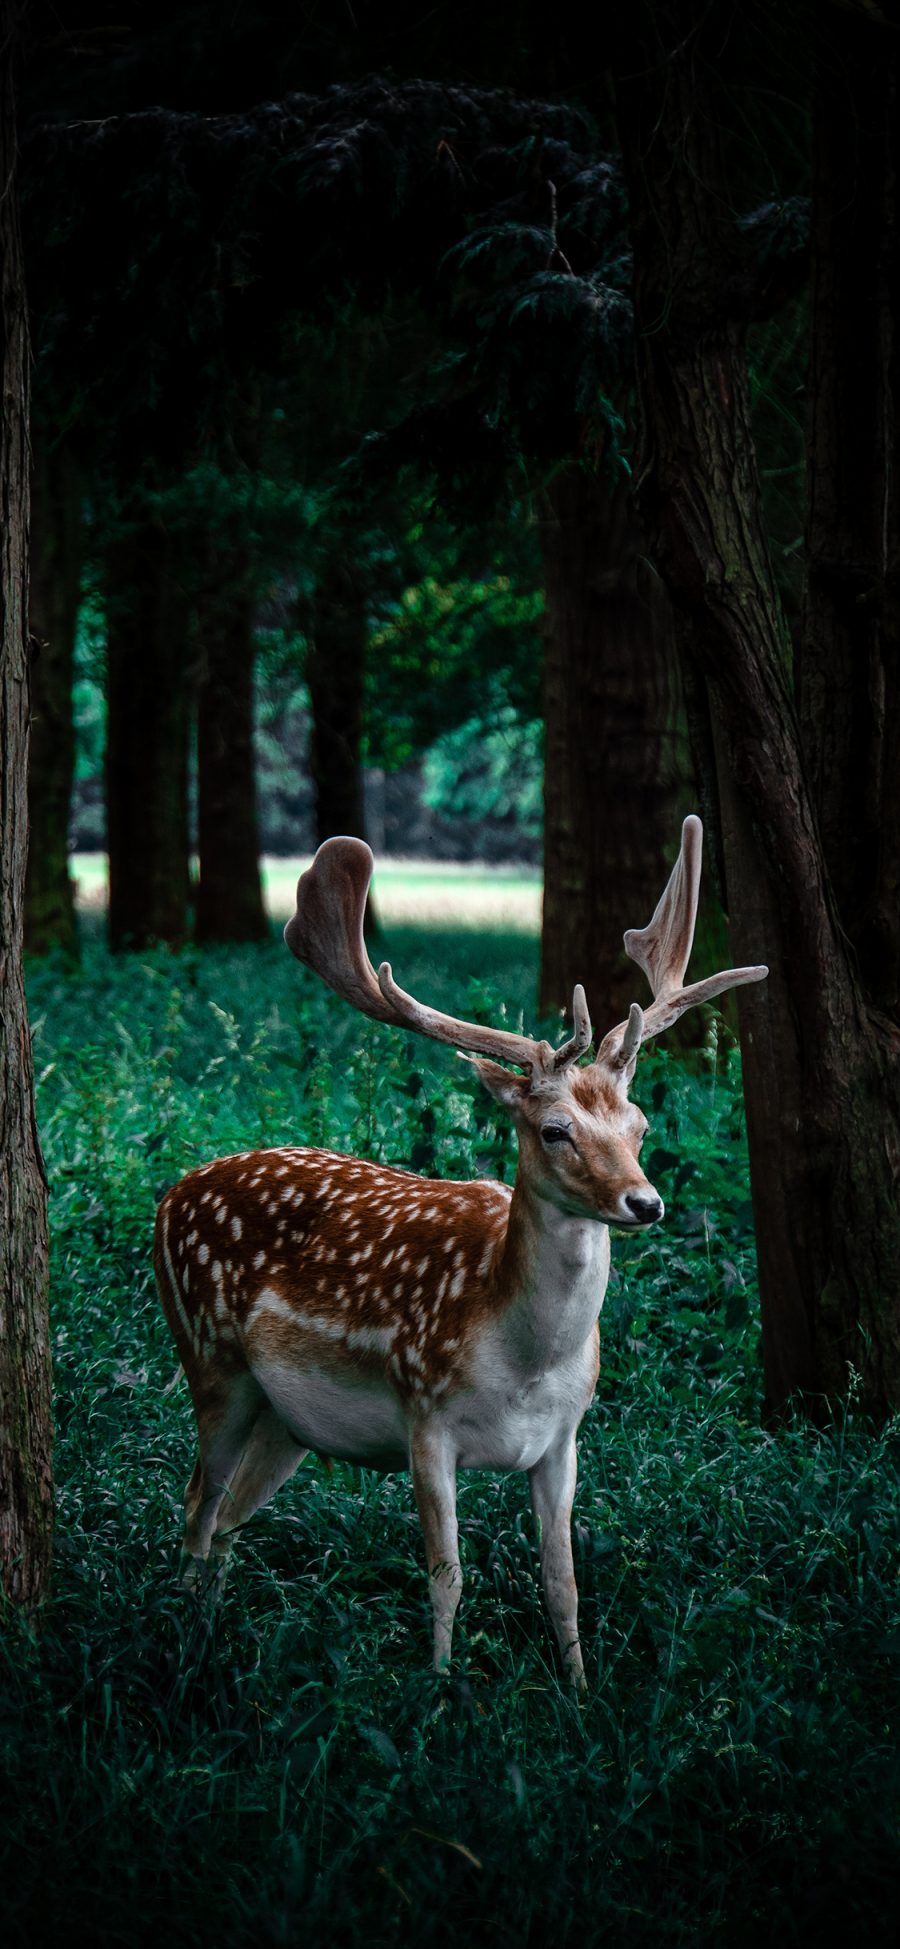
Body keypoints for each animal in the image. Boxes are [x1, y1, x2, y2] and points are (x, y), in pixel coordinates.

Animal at [154, 814, 767, 1683]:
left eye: (642, 1125)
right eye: (554, 1130)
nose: (643, 1202)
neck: (525, 1362)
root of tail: (172, 1192)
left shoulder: (565, 1437)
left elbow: (562, 1578)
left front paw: (579, 1691)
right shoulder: (425, 1417)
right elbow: (446, 1576)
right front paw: (442, 1693)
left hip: (286, 1419)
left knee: (230, 1519)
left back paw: (210, 1641)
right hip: (212, 1360)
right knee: (196, 1508)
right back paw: (184, 1650)